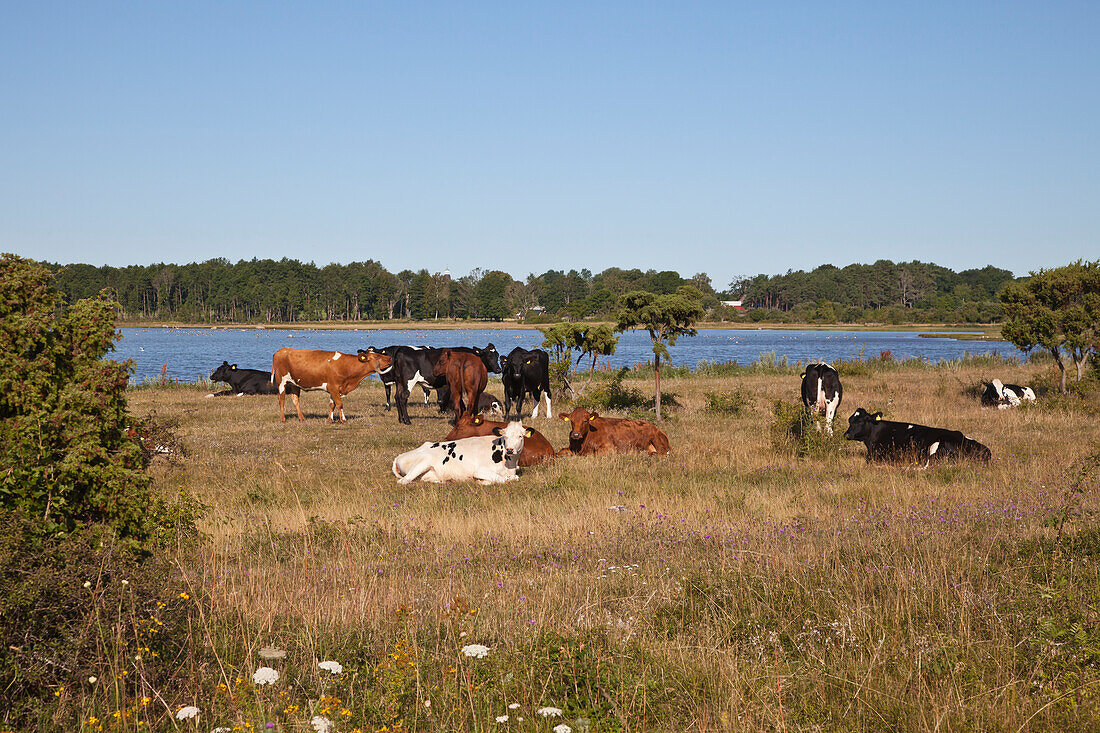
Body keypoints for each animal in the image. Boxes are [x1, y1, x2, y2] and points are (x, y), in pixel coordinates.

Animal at [393, 420, 534, 482]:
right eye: (505, 436)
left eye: (520, 436)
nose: (510, 449)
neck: (510, 463)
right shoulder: (480, 470)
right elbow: (504, 479)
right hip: (423, 463)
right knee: (403, 481)